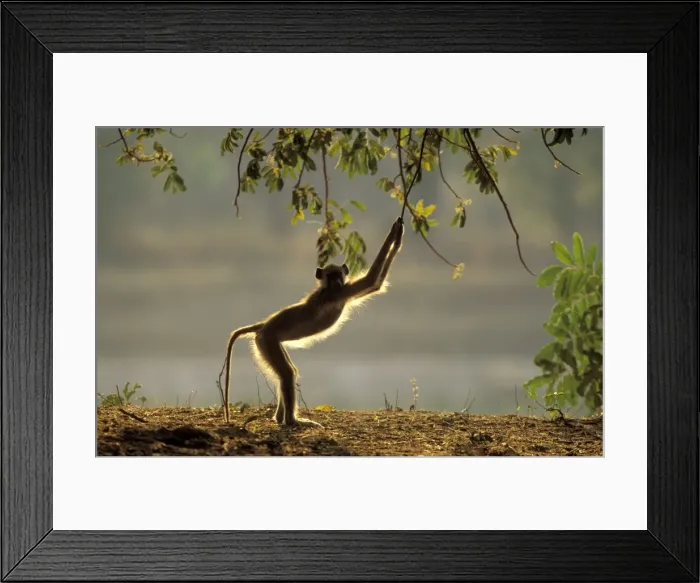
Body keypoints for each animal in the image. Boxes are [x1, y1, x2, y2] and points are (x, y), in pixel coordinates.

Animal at [222, 216, 404, 427]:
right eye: (331, 276)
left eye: (338, 275)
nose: (336, 282)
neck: (329, 290)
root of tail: (264, 324)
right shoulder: (340, 293)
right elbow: (372, 280)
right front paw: (395, 234)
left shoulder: (341, 291)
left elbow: (376, 284)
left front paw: (398, 233)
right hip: (267, 339)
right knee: (287, 374)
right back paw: (291, 421)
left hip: (266, 342)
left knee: (288, 372)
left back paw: (279, 418)